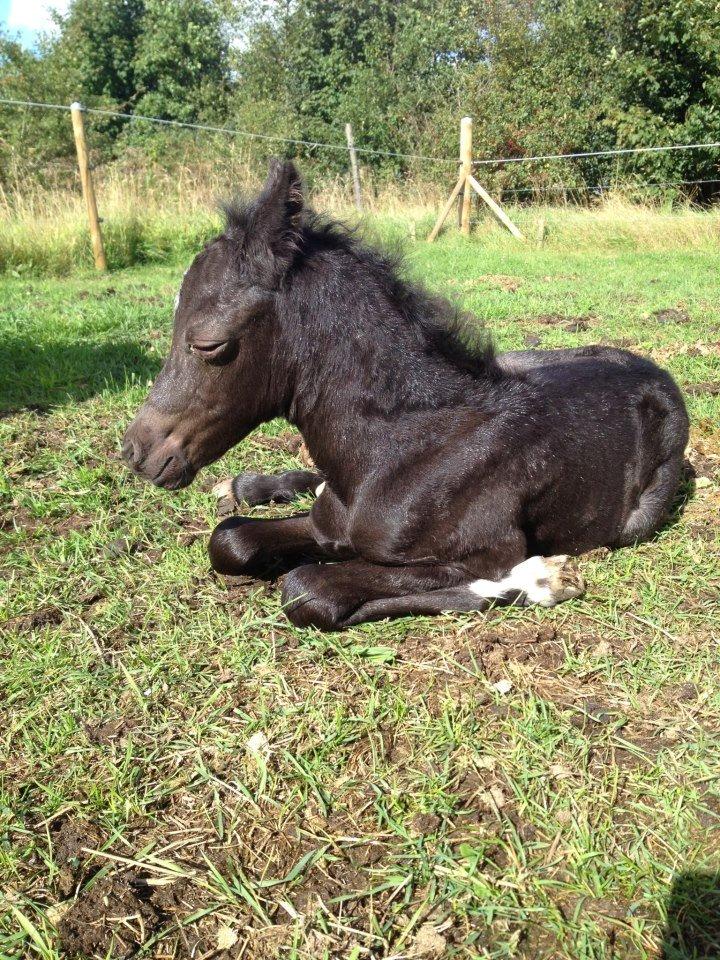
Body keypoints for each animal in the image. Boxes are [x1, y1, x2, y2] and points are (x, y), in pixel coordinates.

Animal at [122, 160, 689, 631]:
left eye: (209, 344)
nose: (136, 452)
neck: (399, 448)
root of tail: (654, 369)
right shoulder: (327, 520)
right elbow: (231, 540)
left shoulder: (483, 552)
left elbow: (307, 589)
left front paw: (542, 579)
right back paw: (249, 483)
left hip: (638, 519)